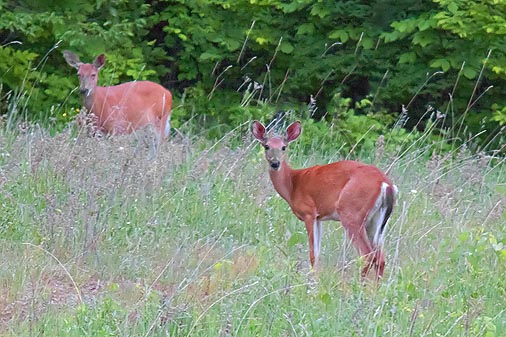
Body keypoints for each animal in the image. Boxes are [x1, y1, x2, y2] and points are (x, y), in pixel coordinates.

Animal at [251, 119, 398, 276]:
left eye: (284, 147)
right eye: (266, 146)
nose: (275, 163)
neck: (293, 184)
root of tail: (386, 184)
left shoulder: (309, 212)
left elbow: (312, 254)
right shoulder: (319, 218)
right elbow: (318, 253)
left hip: (351, 213)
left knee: (367, 255)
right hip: (376, 220)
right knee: (380, 258)